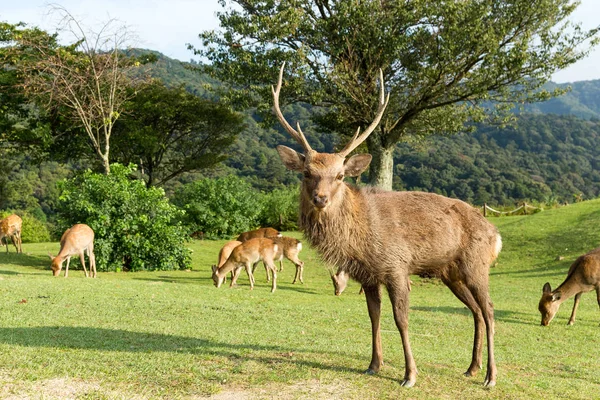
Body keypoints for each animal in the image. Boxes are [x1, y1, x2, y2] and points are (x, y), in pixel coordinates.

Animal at [272, 65, 502, 388]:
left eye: (340, 175)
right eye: (306, 173)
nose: (320, 198)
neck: (359, 240)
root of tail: (496, 234)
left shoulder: (396, 266)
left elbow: (401, 319)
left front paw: (410, 375)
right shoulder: (368, 275)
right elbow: (373, 316)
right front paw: (373, 364)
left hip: (476, 264)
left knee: (490, 310)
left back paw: (491, 376)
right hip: (451, 273)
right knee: (476, 312)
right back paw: (471, 368)